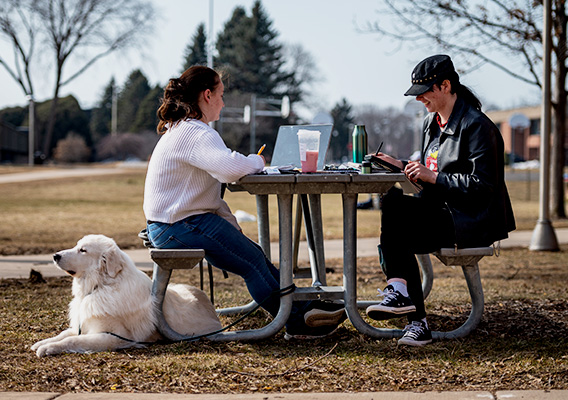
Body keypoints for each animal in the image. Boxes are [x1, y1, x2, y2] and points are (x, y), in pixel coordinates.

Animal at [30, 234, 222, 356]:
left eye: (83, 250)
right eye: (77, 246)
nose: (55, 256)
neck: (101, 287)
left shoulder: (112, 337)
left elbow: (73, 341)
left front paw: (48, 348)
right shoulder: (82, 325)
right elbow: (63, 334)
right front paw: (42, 343)